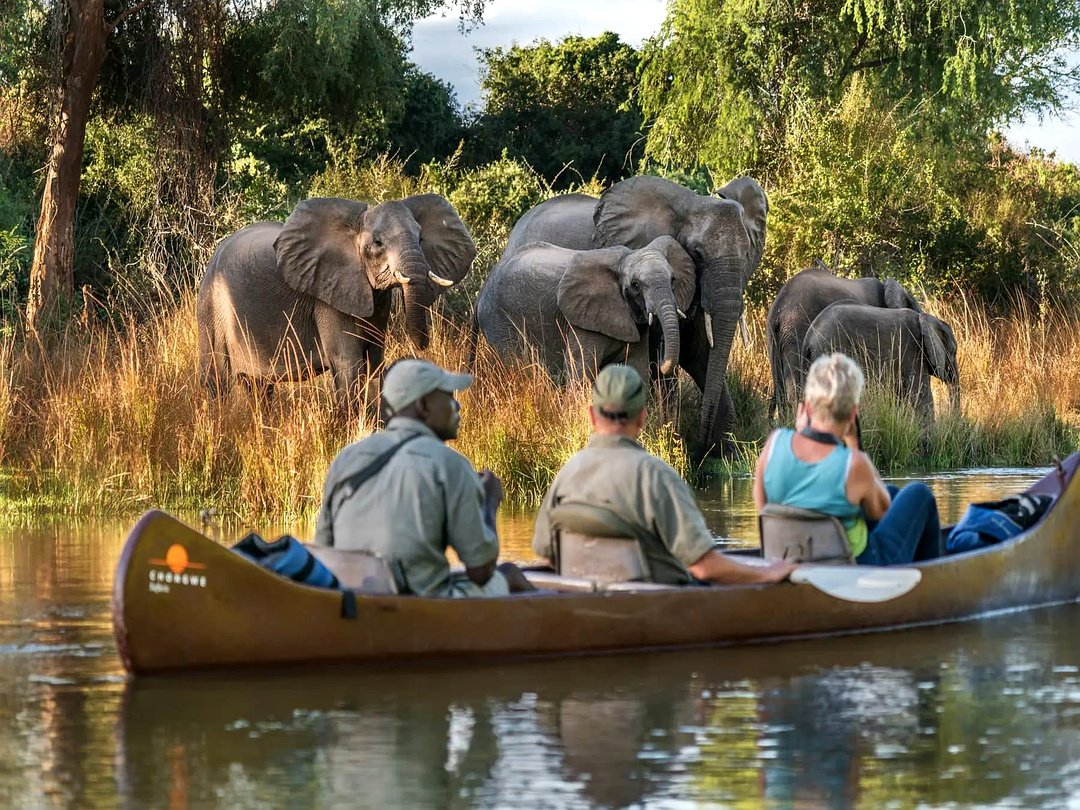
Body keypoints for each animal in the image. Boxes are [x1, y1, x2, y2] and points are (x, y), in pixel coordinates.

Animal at [196, 194, 475, 410]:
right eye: (378, 243)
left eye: (420, 239)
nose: (420, 350)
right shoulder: (327, 296)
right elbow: (348, 361)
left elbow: (374, 359)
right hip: (212, 304)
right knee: (217, 380)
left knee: (258, 386)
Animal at [475, 236, 697, 384]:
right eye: (635, 285)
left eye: (673, 279)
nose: (662, 364)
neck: (624, 259)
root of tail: (482, 289)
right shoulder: (581, 322)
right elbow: (580, 369)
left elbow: (636, 369)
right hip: (499, 321)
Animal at [802, 302, 960, 420]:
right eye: (954, 351)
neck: (926, 318)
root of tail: (809, 336)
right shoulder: (912, 350)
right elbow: (920, 394)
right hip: (830, 350)